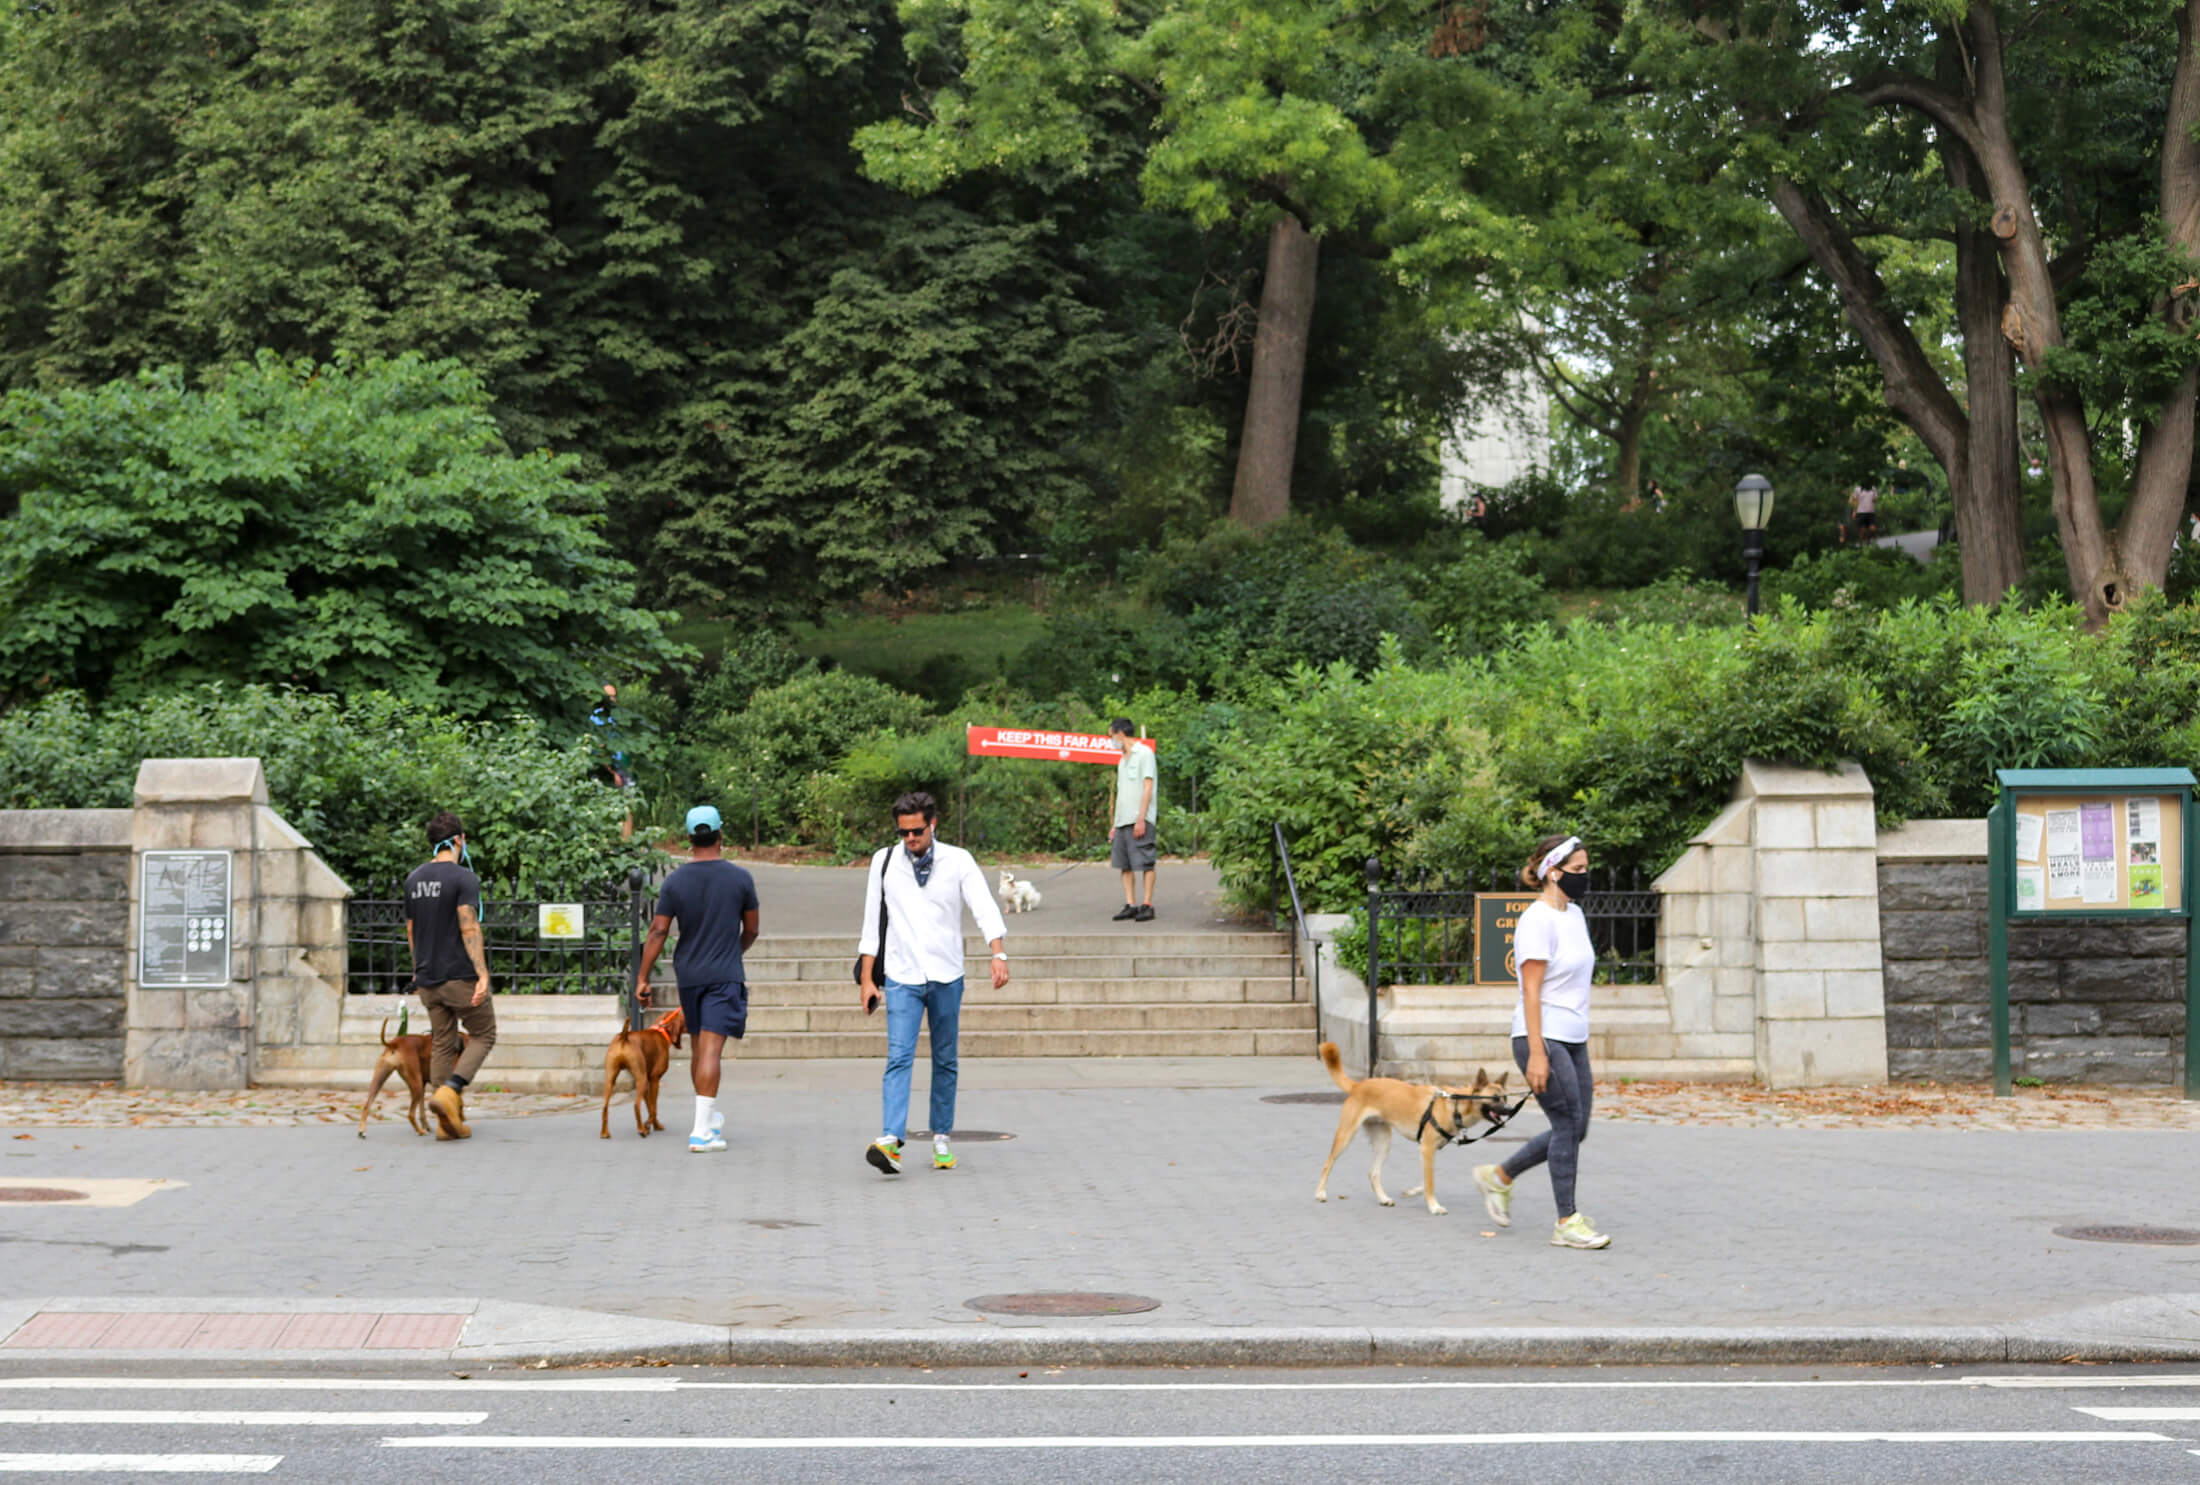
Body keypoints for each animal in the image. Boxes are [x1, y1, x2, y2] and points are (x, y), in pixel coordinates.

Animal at [598, 1003, 682, 1144]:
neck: (661, 1030)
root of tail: (624, 1036)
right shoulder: (654, 1080)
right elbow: (653, 1108)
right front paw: (648, 1125)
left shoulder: (647, 1082)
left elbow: (650, 1107)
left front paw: (653, 1125)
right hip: (640, 1079)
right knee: (636, 1105)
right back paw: (641, 1130)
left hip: (610, 1080)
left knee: (604, 1106)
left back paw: (604, 1133)